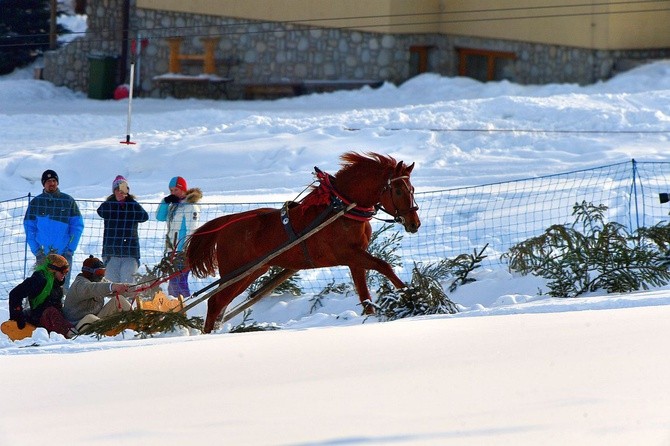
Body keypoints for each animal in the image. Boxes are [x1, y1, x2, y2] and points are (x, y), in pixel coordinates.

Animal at [186, 152, 422, 332]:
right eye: (398, 190)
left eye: (412, 189)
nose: (414, 223)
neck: (342, 209)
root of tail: (227, 222)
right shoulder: (349, 254)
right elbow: (384, 266)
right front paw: (411, 296)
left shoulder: (355, 260)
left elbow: (365, 295)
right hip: (236, 272)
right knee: (214, 303)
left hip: (253, 271)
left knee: (221, 306)